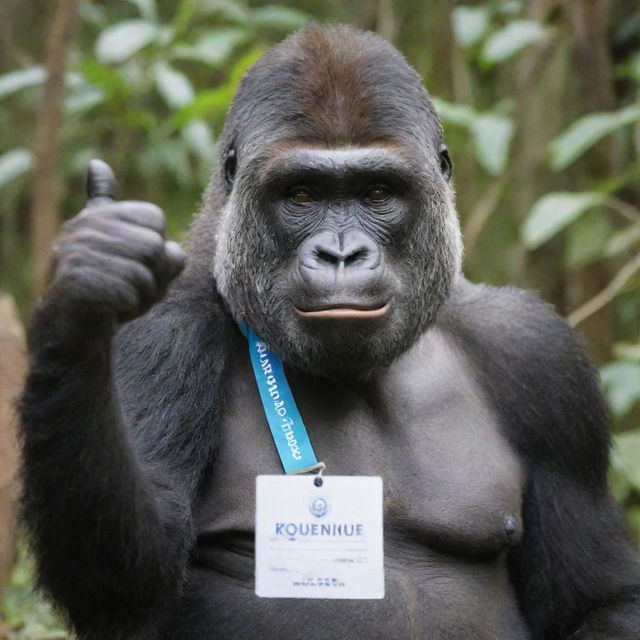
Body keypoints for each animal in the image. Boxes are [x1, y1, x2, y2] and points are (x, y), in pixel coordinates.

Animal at [17, 22, 640, 636]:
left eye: (377, 193)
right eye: (301, 194)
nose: (341, 254)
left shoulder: (537, 354)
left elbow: (597, 598)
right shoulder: (162, 329)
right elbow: (131, 579)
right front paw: (83, 295)